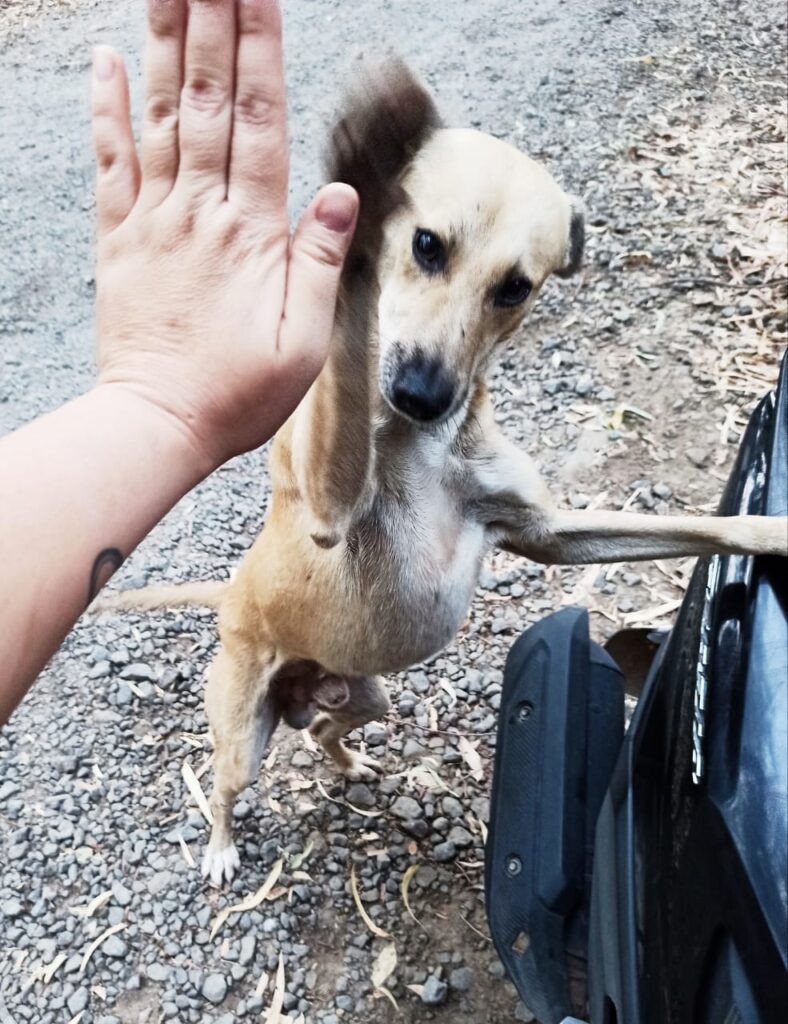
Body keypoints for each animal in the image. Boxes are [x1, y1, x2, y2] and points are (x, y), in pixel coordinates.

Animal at [96, 64, 785, 884]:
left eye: (515, 287)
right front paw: (361, 190)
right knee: (229, 785)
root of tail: (232, 597)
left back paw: (349, 762)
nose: (422, 395)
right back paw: (223, 848)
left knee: (322, 729)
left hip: (369, 692)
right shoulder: (330, 502)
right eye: (426, 245)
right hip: (243, 735)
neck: (424, 446)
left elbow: (701, 527)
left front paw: (775, 529)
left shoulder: (547, 532)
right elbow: (349, 337)